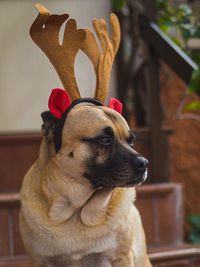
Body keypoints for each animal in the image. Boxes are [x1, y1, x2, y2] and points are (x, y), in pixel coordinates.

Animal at [19, 4, 152, 267]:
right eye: (104, 139)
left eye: (131, 140)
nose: (144, 163)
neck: (76, 211)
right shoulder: (39, 260)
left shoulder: (122, 257)